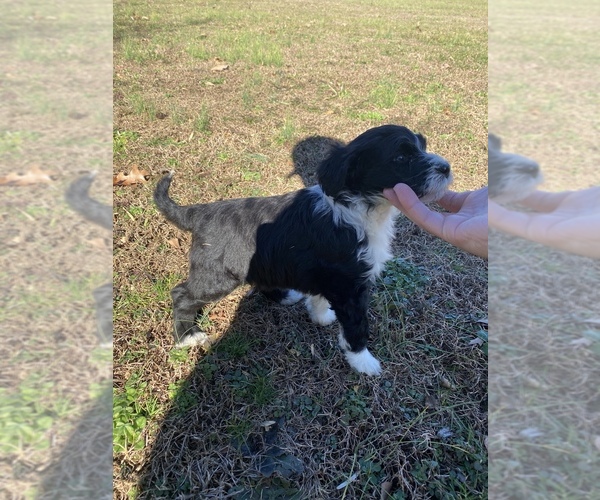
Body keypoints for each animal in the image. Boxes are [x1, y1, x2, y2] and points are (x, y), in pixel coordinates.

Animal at [155, 125, 450, 376]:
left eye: (422, 146)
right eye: (401, 157)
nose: (447, 168)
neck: (358, 207)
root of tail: (197, 213)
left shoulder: (325, 275)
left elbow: (319, 296)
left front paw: (320, 316)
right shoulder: (350, 287)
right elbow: (356, 326)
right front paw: (363, 362)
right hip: (218, 276)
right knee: (181, 294)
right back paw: (186, 337)